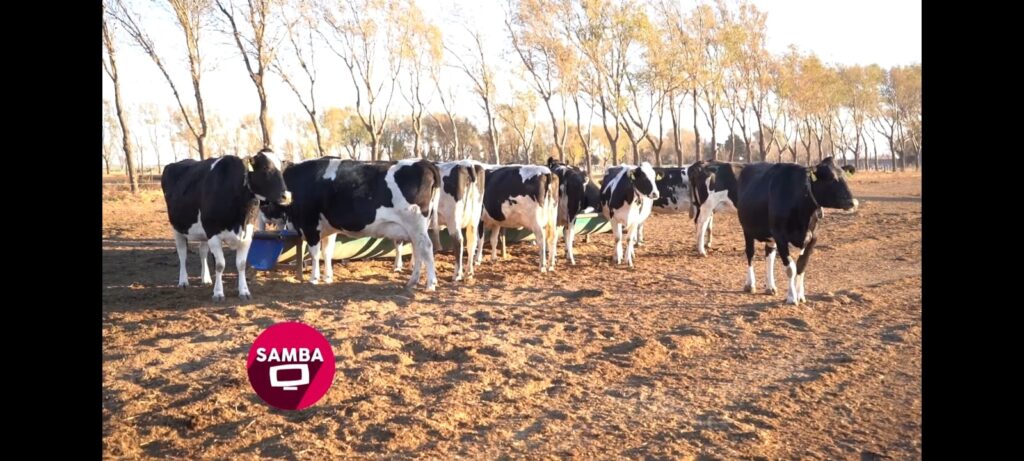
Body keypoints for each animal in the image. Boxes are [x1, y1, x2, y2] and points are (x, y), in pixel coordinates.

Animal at [161, 148, 292, 301]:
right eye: (265, 168)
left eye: (281, 169)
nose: (287, 196)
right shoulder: (213, 233)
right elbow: (219, 265)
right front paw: (218, 293)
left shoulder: (247, 234)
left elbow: (241, 264)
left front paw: (244, 291)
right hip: (177, 228)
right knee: (182, 253)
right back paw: (183, 281)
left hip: (203, 231)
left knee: (202, 251)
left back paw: (205, 279)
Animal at [266, 157, 442, 291]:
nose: (265, 211)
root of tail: (423, 162)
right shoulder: (328, 229)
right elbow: (327, 252)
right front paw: (327, 277)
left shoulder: (310, 226)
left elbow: (315, 254)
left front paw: (314, 278)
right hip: (416, 229)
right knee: (418, 250)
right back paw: (413, 281)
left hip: (415, 224)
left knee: (426, 248)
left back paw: (430, 284)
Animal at [736, 157, 859, 304]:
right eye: (831, 178)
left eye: (845, 177)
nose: (852, 202)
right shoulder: (780, 236)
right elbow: (791, 268)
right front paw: (791, 297)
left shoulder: (813, 238)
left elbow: (801, 266)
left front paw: (800, 296)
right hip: (747, 229)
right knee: (750, 254)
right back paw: (750, 284)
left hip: (770, 235)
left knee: (769, 255)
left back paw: (770, 286)